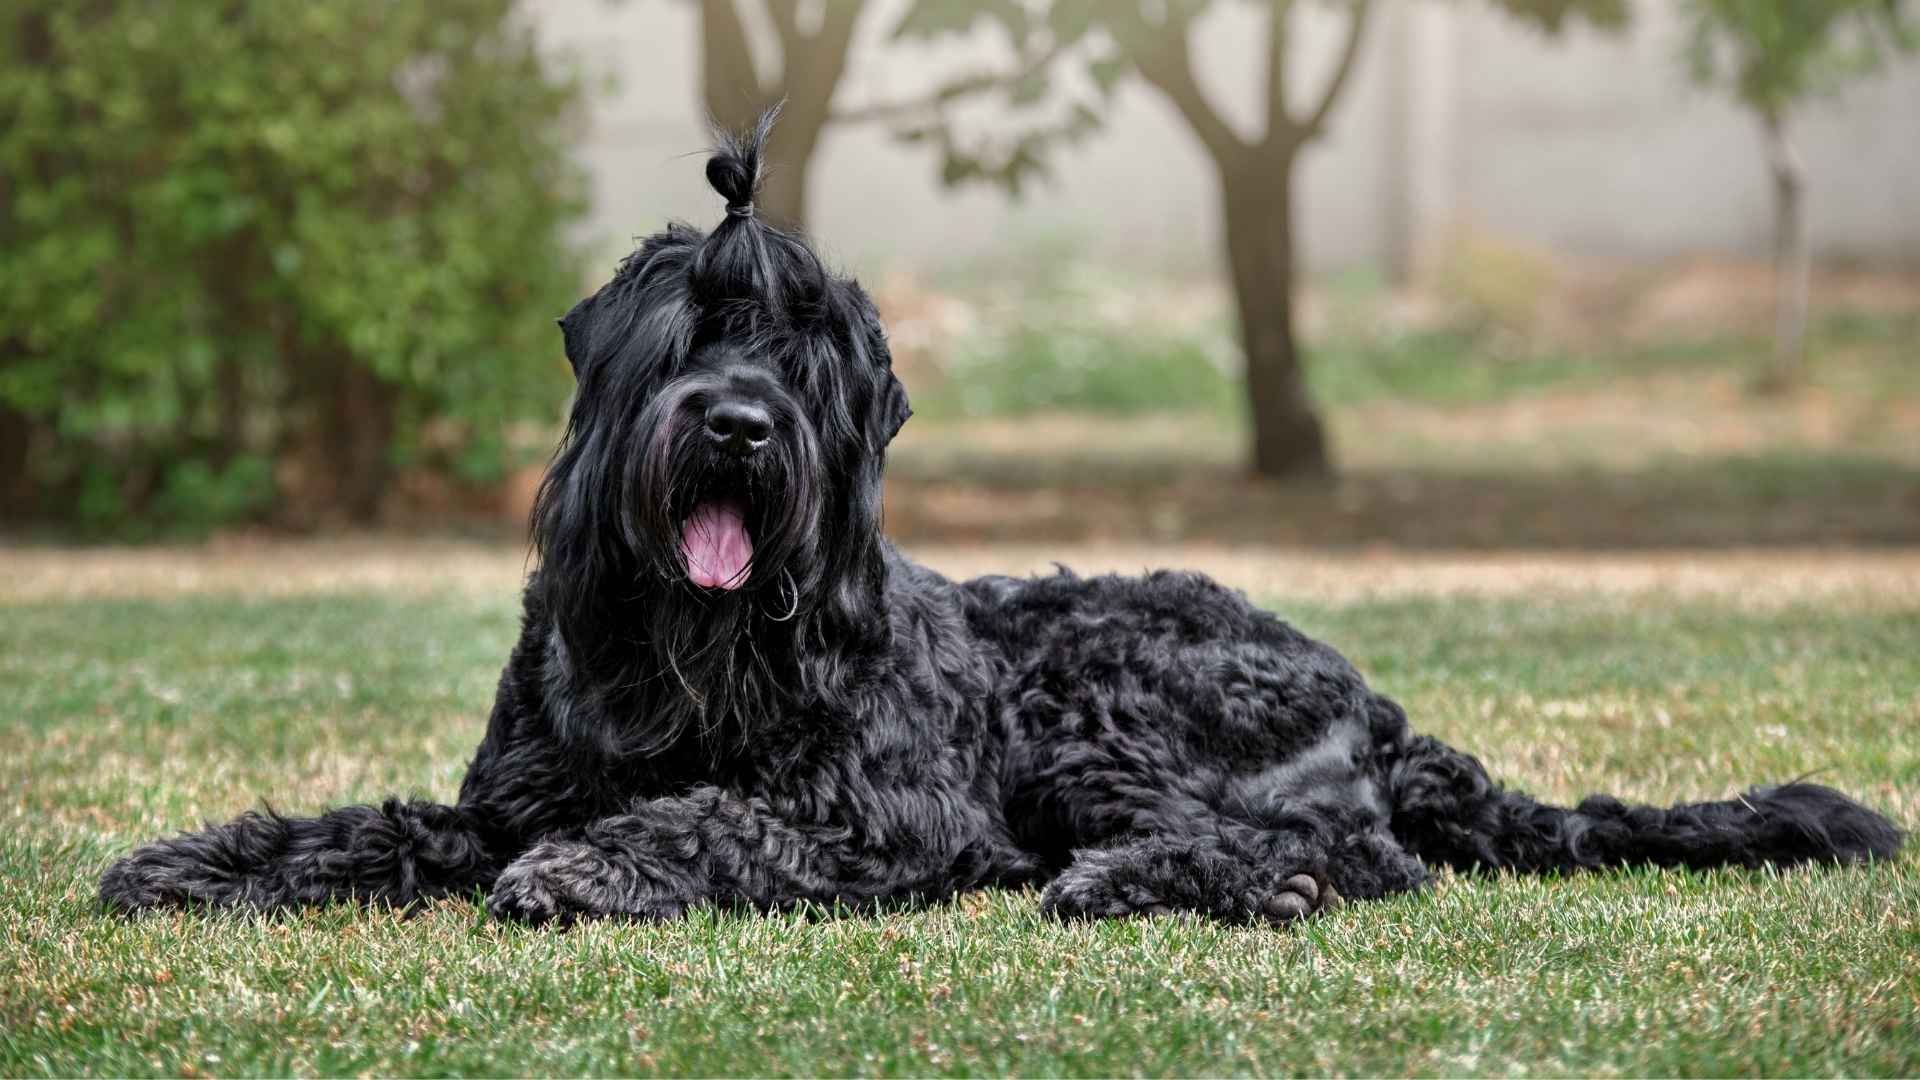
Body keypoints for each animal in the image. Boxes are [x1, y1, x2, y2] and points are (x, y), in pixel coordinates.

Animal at [93, 115, 1904, 926]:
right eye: (684, 334)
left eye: (810, 354)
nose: (739, 425)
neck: (681, 657)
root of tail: (1374, 702)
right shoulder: (496, 795)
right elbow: (366, 825)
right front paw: (200, 855)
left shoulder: (882, 815)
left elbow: (718, 821)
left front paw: (595, 869)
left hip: (1111, 699)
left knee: (1349, 852)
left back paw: (1153, 879)